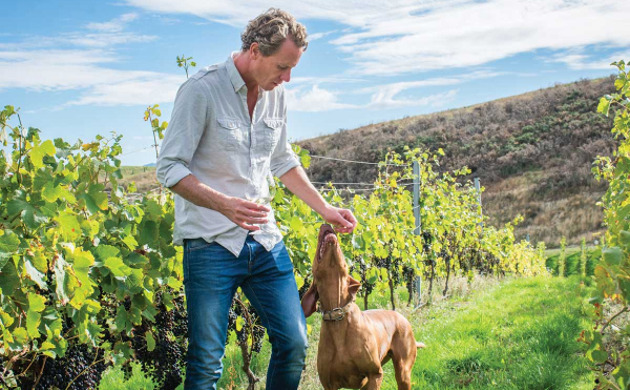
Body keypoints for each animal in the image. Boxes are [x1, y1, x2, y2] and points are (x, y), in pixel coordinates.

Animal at [304, 224, 428, 388]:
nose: (327, 224)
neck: (337, 314)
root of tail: (400, 316)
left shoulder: (375, 374)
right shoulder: (329, 385)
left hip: (403, 372)